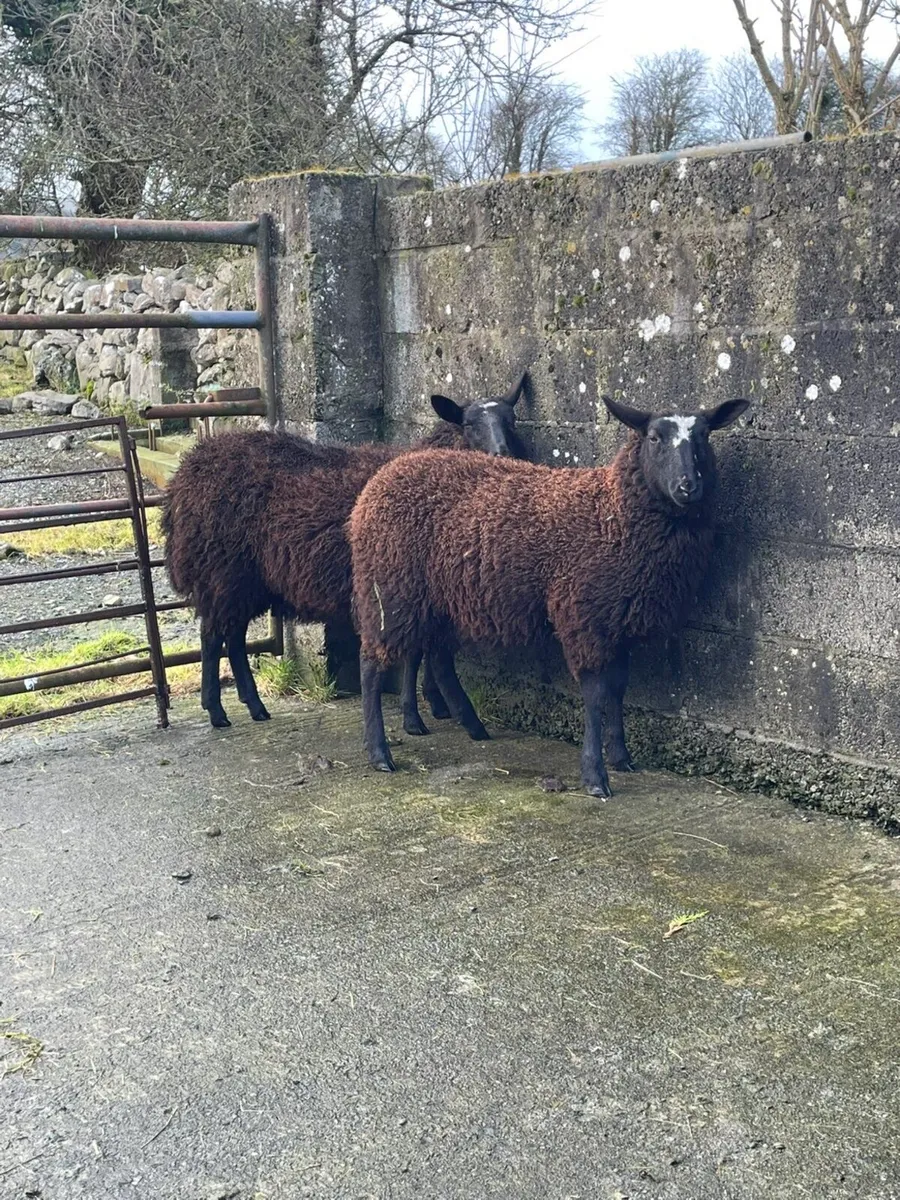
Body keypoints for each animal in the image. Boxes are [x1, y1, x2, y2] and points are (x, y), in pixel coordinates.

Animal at [162, 373, 530, 729]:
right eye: (468, 424)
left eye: (511, 421)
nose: (502, 454)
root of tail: (189, 469)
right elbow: (415, 653)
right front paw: (418, 716)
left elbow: (424, 651)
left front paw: (435, 705)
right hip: (221, 570)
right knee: (212, 637)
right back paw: (216, 711)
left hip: (245, 580)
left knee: (234, 637)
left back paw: (254, 706)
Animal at [349, 394, 750, 797]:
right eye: (654, 438)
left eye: (704, 436)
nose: (688, 487)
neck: (612, 514)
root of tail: (387, 473)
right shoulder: (584, 616)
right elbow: (595, 694)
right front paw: (595, 776)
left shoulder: (617, 620)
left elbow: (618, 690)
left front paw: (622, 757)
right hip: (389, 589)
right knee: (370, 665)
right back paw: (379, 753)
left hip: (438, 598)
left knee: (437, 659)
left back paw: (472, 726)